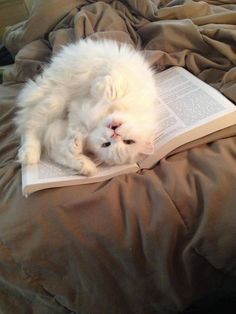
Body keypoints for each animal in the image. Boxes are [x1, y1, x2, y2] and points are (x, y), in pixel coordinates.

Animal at [15, 38, 159, 175]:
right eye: (129, 141)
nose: (114, 134)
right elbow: (109, 87)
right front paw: (102, 89)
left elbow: (68, 143)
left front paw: (76, 144)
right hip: (54, 100)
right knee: (30, 127)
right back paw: (29, 155)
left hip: (52, 110)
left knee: (50, 146)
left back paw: (86, 167)